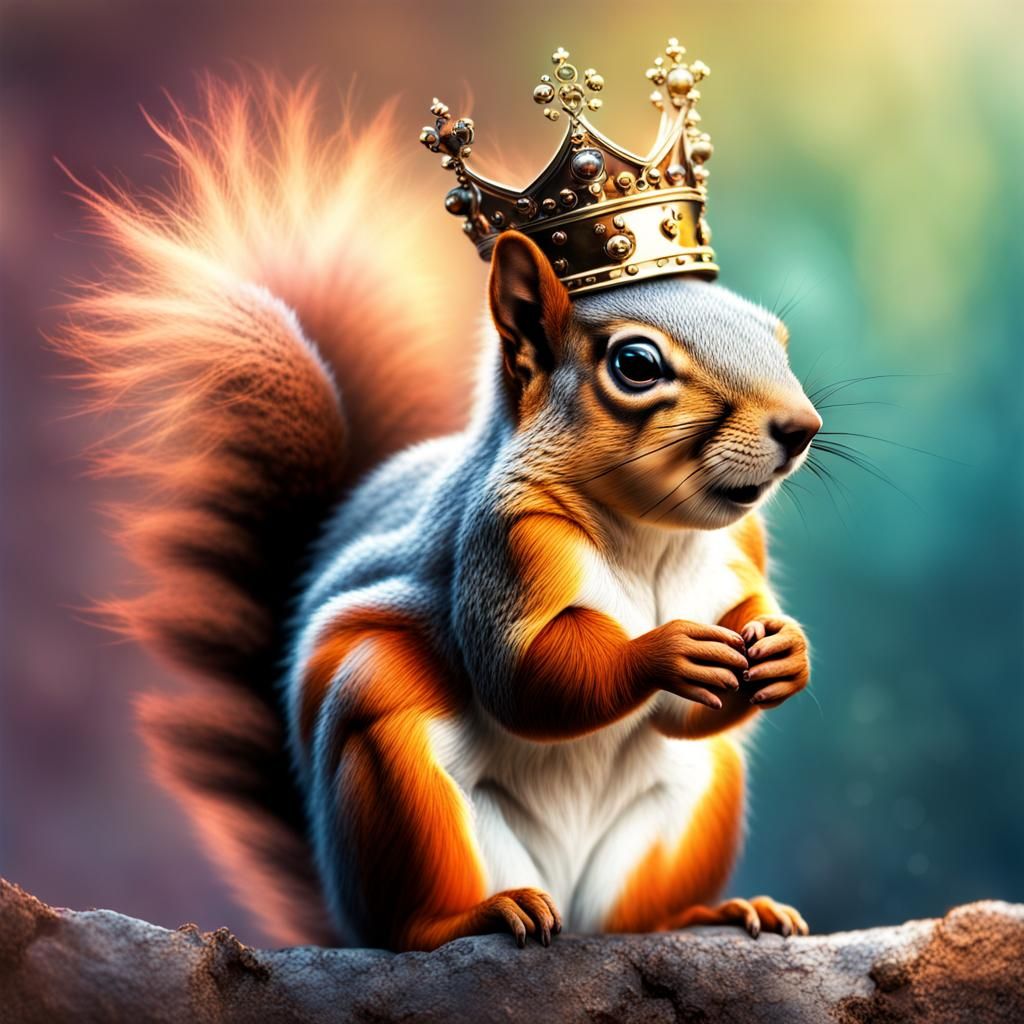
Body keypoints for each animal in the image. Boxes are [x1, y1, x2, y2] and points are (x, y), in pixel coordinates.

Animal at [61, 78, 821, 951]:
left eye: (777, 336)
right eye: (635, 364)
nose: (801, 428)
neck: (648, 537)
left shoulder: (739, 549)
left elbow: (700, 690)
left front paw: (785, 648)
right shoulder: (504, 542)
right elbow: (525, 678)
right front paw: (663, 651)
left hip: (691, 806)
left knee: (640, 912)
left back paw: (713, 911)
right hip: (390, 763)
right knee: (411, 918)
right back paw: (479, 914)